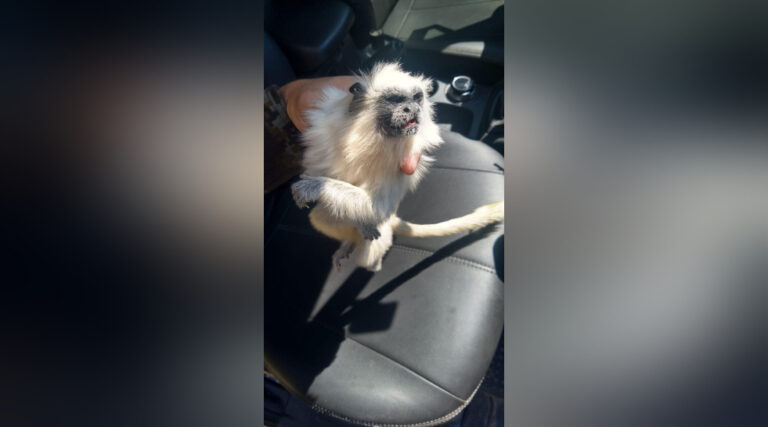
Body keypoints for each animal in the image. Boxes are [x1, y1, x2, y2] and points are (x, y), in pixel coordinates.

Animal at [290, 62, 503, 272]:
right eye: (395, 99)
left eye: (417, 98)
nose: (412, 109)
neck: (366, 136)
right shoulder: (324, 137)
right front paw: (360, 223)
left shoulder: (400, 162)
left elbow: (379, 207)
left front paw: (315, 187)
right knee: (320, 217)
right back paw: (350, 242)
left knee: (366, 257)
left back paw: (373, 262)